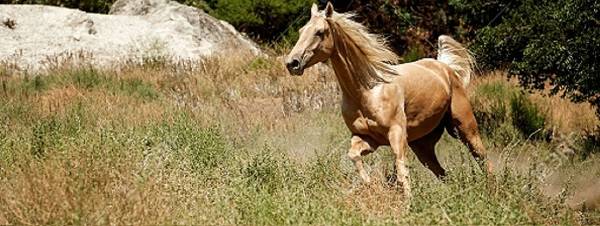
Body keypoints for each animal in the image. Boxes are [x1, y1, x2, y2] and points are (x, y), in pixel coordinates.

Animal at [286, 2, 492, 196]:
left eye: (320, 32)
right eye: (301, 31)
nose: (292, 63)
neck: (366, 91)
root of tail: (445, 67)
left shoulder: (396, 133)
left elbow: (401, 168)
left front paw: (408, 204)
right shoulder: (367, 138)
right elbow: (354, 155)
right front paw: (370, 184)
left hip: (465, 127)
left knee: (482, 159)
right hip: (423, 146)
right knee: (443, 173)